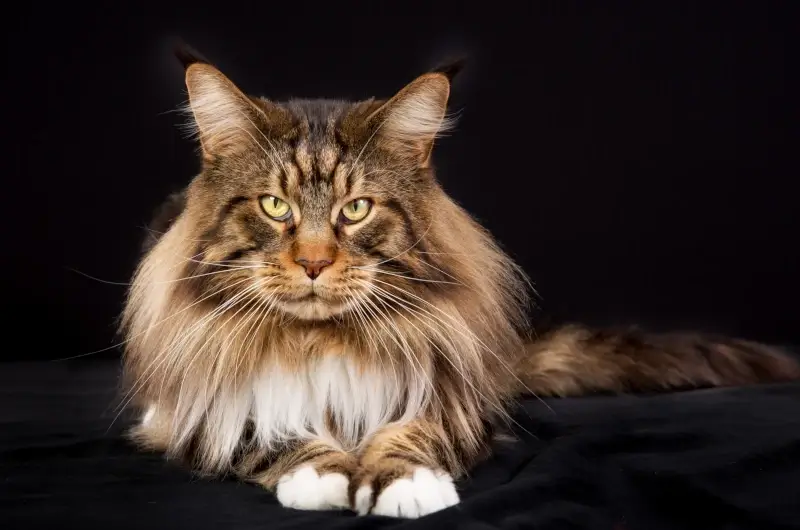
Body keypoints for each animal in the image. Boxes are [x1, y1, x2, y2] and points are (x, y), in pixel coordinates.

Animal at [119, 45, 800, 516]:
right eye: (274, 207)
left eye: (356, 209)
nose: (313, 263)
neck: (323, 340)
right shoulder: (184, 405)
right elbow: (260, 428)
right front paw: (322, 472)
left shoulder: (455, 391)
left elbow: (415, 431)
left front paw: (405, 482)